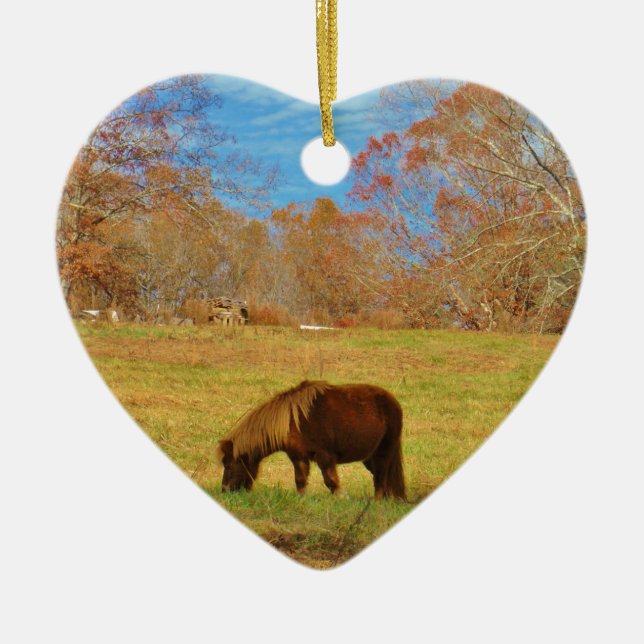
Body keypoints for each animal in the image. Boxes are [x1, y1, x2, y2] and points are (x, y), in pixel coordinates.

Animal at [217, 380, 406, 500]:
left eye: (229, 465)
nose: (224, 491)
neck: (292, 421)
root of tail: (393, 402)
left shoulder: (325, 456)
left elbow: (331, 482)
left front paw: (341, 498)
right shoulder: (298, 458)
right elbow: (300, 482)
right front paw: (302, 501)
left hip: (384, 452)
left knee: (381, 479)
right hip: (369, 457)